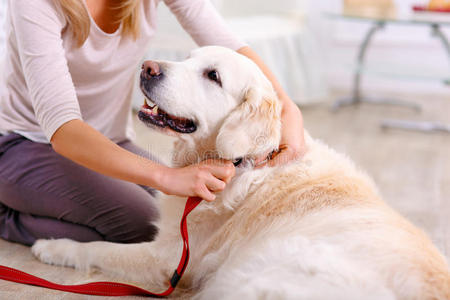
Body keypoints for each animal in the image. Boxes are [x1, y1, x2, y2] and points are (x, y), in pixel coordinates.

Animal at [32, 45, 450, 298]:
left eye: (212, 76)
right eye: (187, 58)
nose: (147, 67)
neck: (242, 162)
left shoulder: (170, 258)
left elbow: (100, 248)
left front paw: (53, 246)